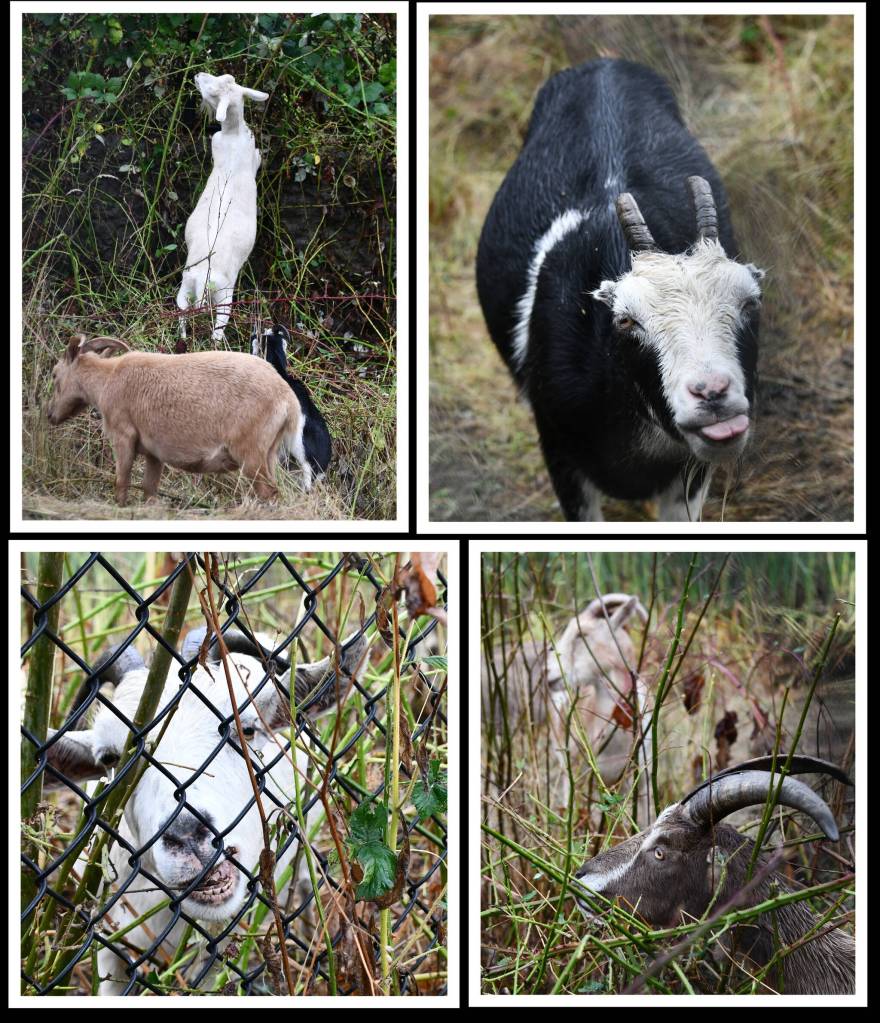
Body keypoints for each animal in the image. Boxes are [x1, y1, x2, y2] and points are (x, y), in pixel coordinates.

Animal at [46, 335, 302, 504]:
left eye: (55, 374)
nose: (50, 415)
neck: (107, 380)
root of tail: (288, 400)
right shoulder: (153, 453)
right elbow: (149, 490)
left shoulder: (123, 436)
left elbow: (122, 483)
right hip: (269, 453)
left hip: (250, 453)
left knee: (268, 492)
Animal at [177, 72, 268, 342]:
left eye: (214, 90)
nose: (197, 75)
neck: (233, 134)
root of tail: (202, 281)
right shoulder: (252, 156)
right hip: (225, 298)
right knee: (217, 331)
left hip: (185, 288)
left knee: (181, 317)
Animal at [476, 59, 765, 521]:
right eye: (627, 321)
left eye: (750, 303)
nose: (711, 393)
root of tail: (603, 63)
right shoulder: (559, 452)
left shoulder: (691, 474)